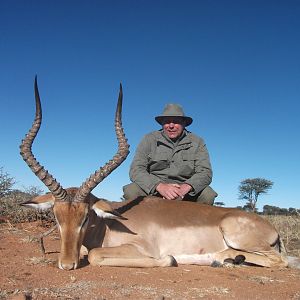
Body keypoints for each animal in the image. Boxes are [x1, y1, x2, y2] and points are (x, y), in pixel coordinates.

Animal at [20, 78, 298, 270]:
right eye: (56, 217)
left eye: (86, 217)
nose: (66, 265)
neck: (108, 225)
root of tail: (270, 227)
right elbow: (88, 252)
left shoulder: (139, 248)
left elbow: (97, 255)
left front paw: (169, 259)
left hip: (236, 235)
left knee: (280, 261)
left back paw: (221, 259)